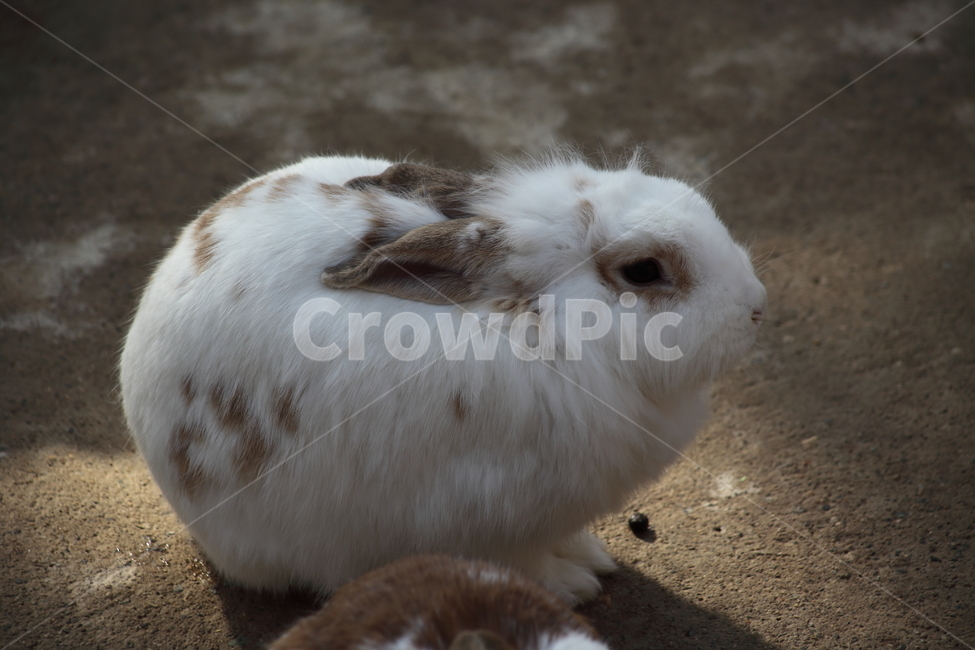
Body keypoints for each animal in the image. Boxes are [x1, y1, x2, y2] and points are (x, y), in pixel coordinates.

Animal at [119, 152, 767, 604]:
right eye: (644, 271)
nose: (756, 307)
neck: (540, 325)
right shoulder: (489, 523)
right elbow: (523, 565)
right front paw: (575, 585)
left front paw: (593, 558)